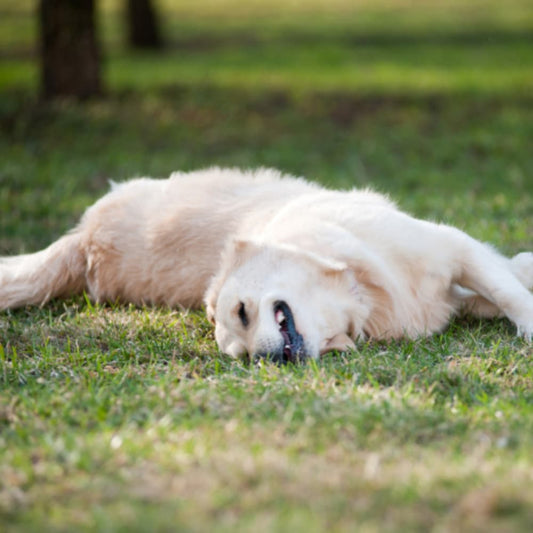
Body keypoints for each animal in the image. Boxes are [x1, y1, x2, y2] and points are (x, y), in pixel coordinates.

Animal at [1, 168, 532, 364]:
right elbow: (503, 285)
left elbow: (506, 287)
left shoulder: (454, 250)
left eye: (240, 312)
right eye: (243, 357)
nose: (268, 360)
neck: (360, 293)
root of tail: (84, 242)